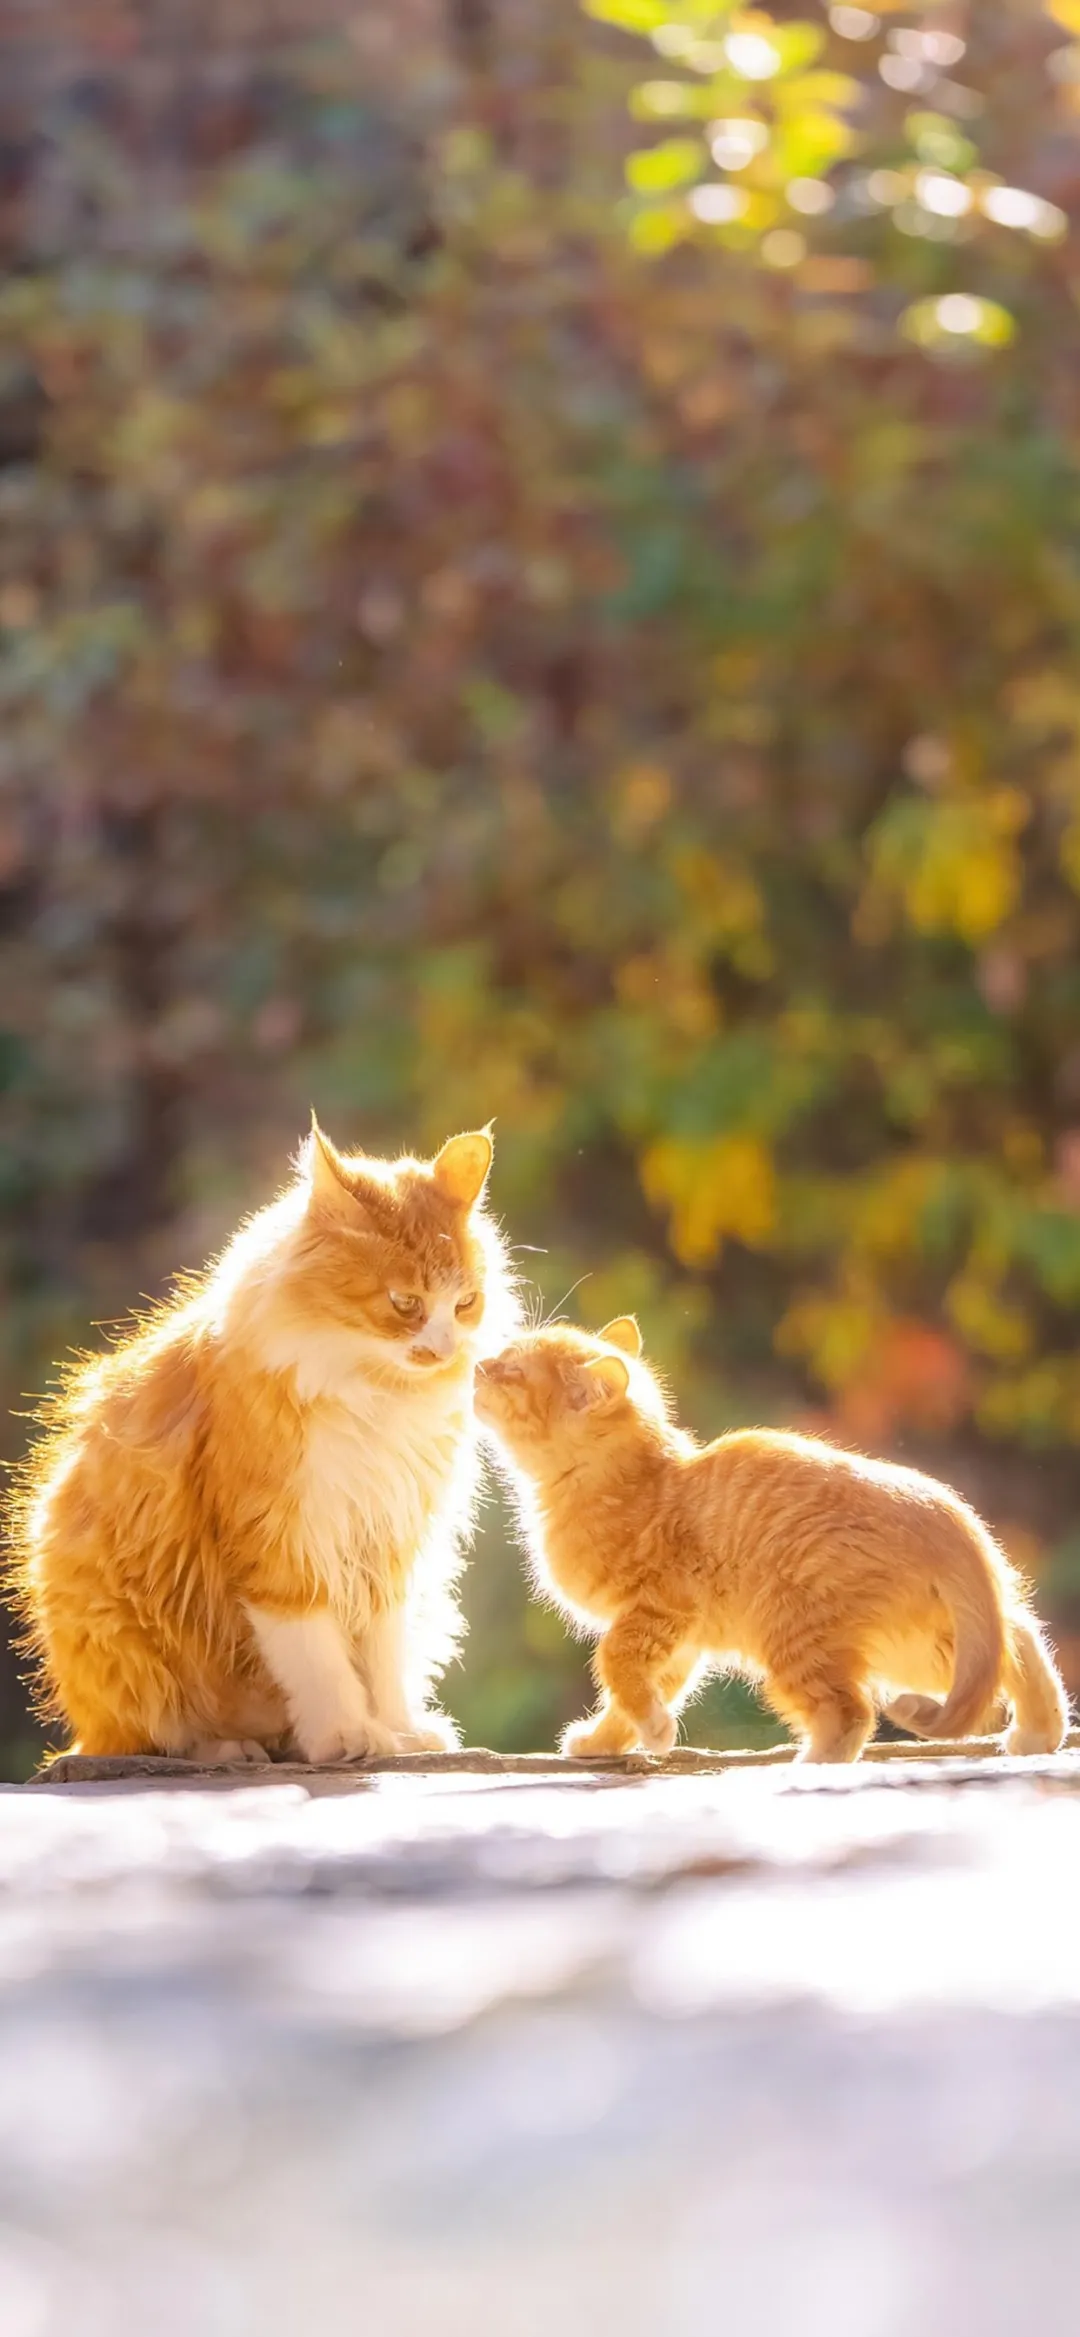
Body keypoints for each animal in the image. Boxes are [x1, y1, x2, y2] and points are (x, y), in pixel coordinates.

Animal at [6, 1121, 514, 1757]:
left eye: (466, 1302)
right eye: (406, 1304)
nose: (444, 1349)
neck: (374, 1392)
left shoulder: (388, 1547)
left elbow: (385, 1660)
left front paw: (399, 1730)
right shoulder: (279, 1542)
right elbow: (317, 1658)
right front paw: (347, 1734)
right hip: (118, 1638)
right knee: (159, 1734)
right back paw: (230, 1749)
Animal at [474, 1327, 1070, 1757]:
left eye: (512, 1369)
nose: (479, 1365)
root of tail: (948, 1516)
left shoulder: (660, 1607)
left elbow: (615, 1664)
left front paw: (651, 1730)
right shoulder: (678, 1640)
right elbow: (639, 1687)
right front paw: (608, 1740)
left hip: (794, 1635)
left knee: (851, 1716)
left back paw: (809, 1769)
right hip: (930, 1643)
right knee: (1020, 1645)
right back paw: (1039, 1732)